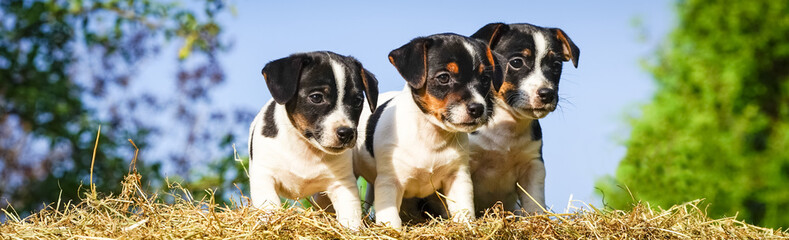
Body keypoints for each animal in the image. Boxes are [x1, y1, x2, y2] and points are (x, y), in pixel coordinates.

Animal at [249, 51, 378, 229]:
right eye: (316, 97)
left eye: (358, 101)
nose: (347, 133)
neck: (305, 148)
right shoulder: (264, 177)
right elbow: (269, 206)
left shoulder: (342, 184)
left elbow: (350, 215)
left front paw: (352, 229)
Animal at [352, 33, 502, 227]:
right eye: (444, 77)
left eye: (485, 79)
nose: (478, 108)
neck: (431, 136)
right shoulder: (389, 182)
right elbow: (391, 218)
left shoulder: (458, 178)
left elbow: (464, 209)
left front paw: (466, 225)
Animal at [468, 23, 580, 216]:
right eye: (516, 62)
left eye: (556, 65)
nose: (547, 94)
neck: (508, 125)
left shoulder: (533, 167)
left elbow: (534, 202)